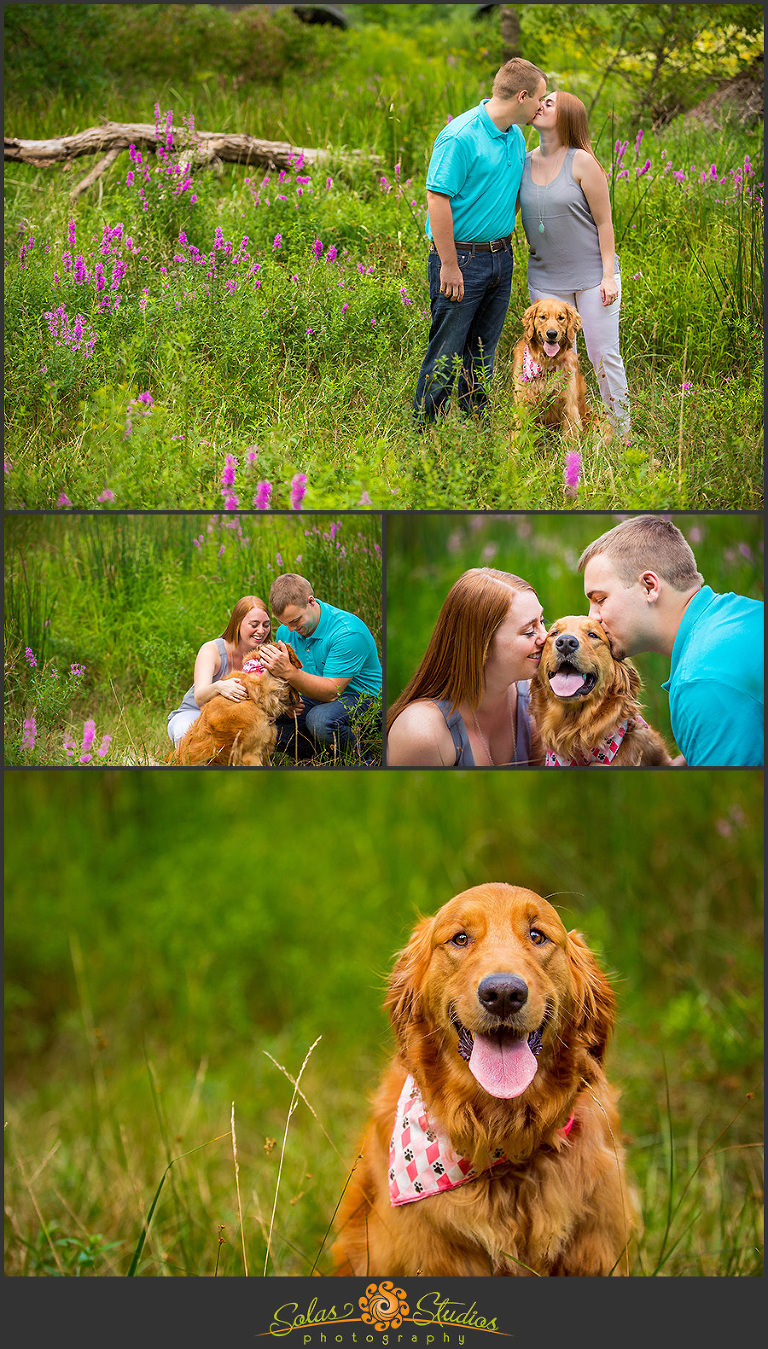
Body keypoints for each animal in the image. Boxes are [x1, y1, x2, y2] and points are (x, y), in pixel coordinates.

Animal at [512, 298, 591, 439]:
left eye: (561, 318)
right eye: (543, 317)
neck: (545, 362)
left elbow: (570, 437)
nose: (552, 333)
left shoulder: (569, 408)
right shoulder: (523, 404)